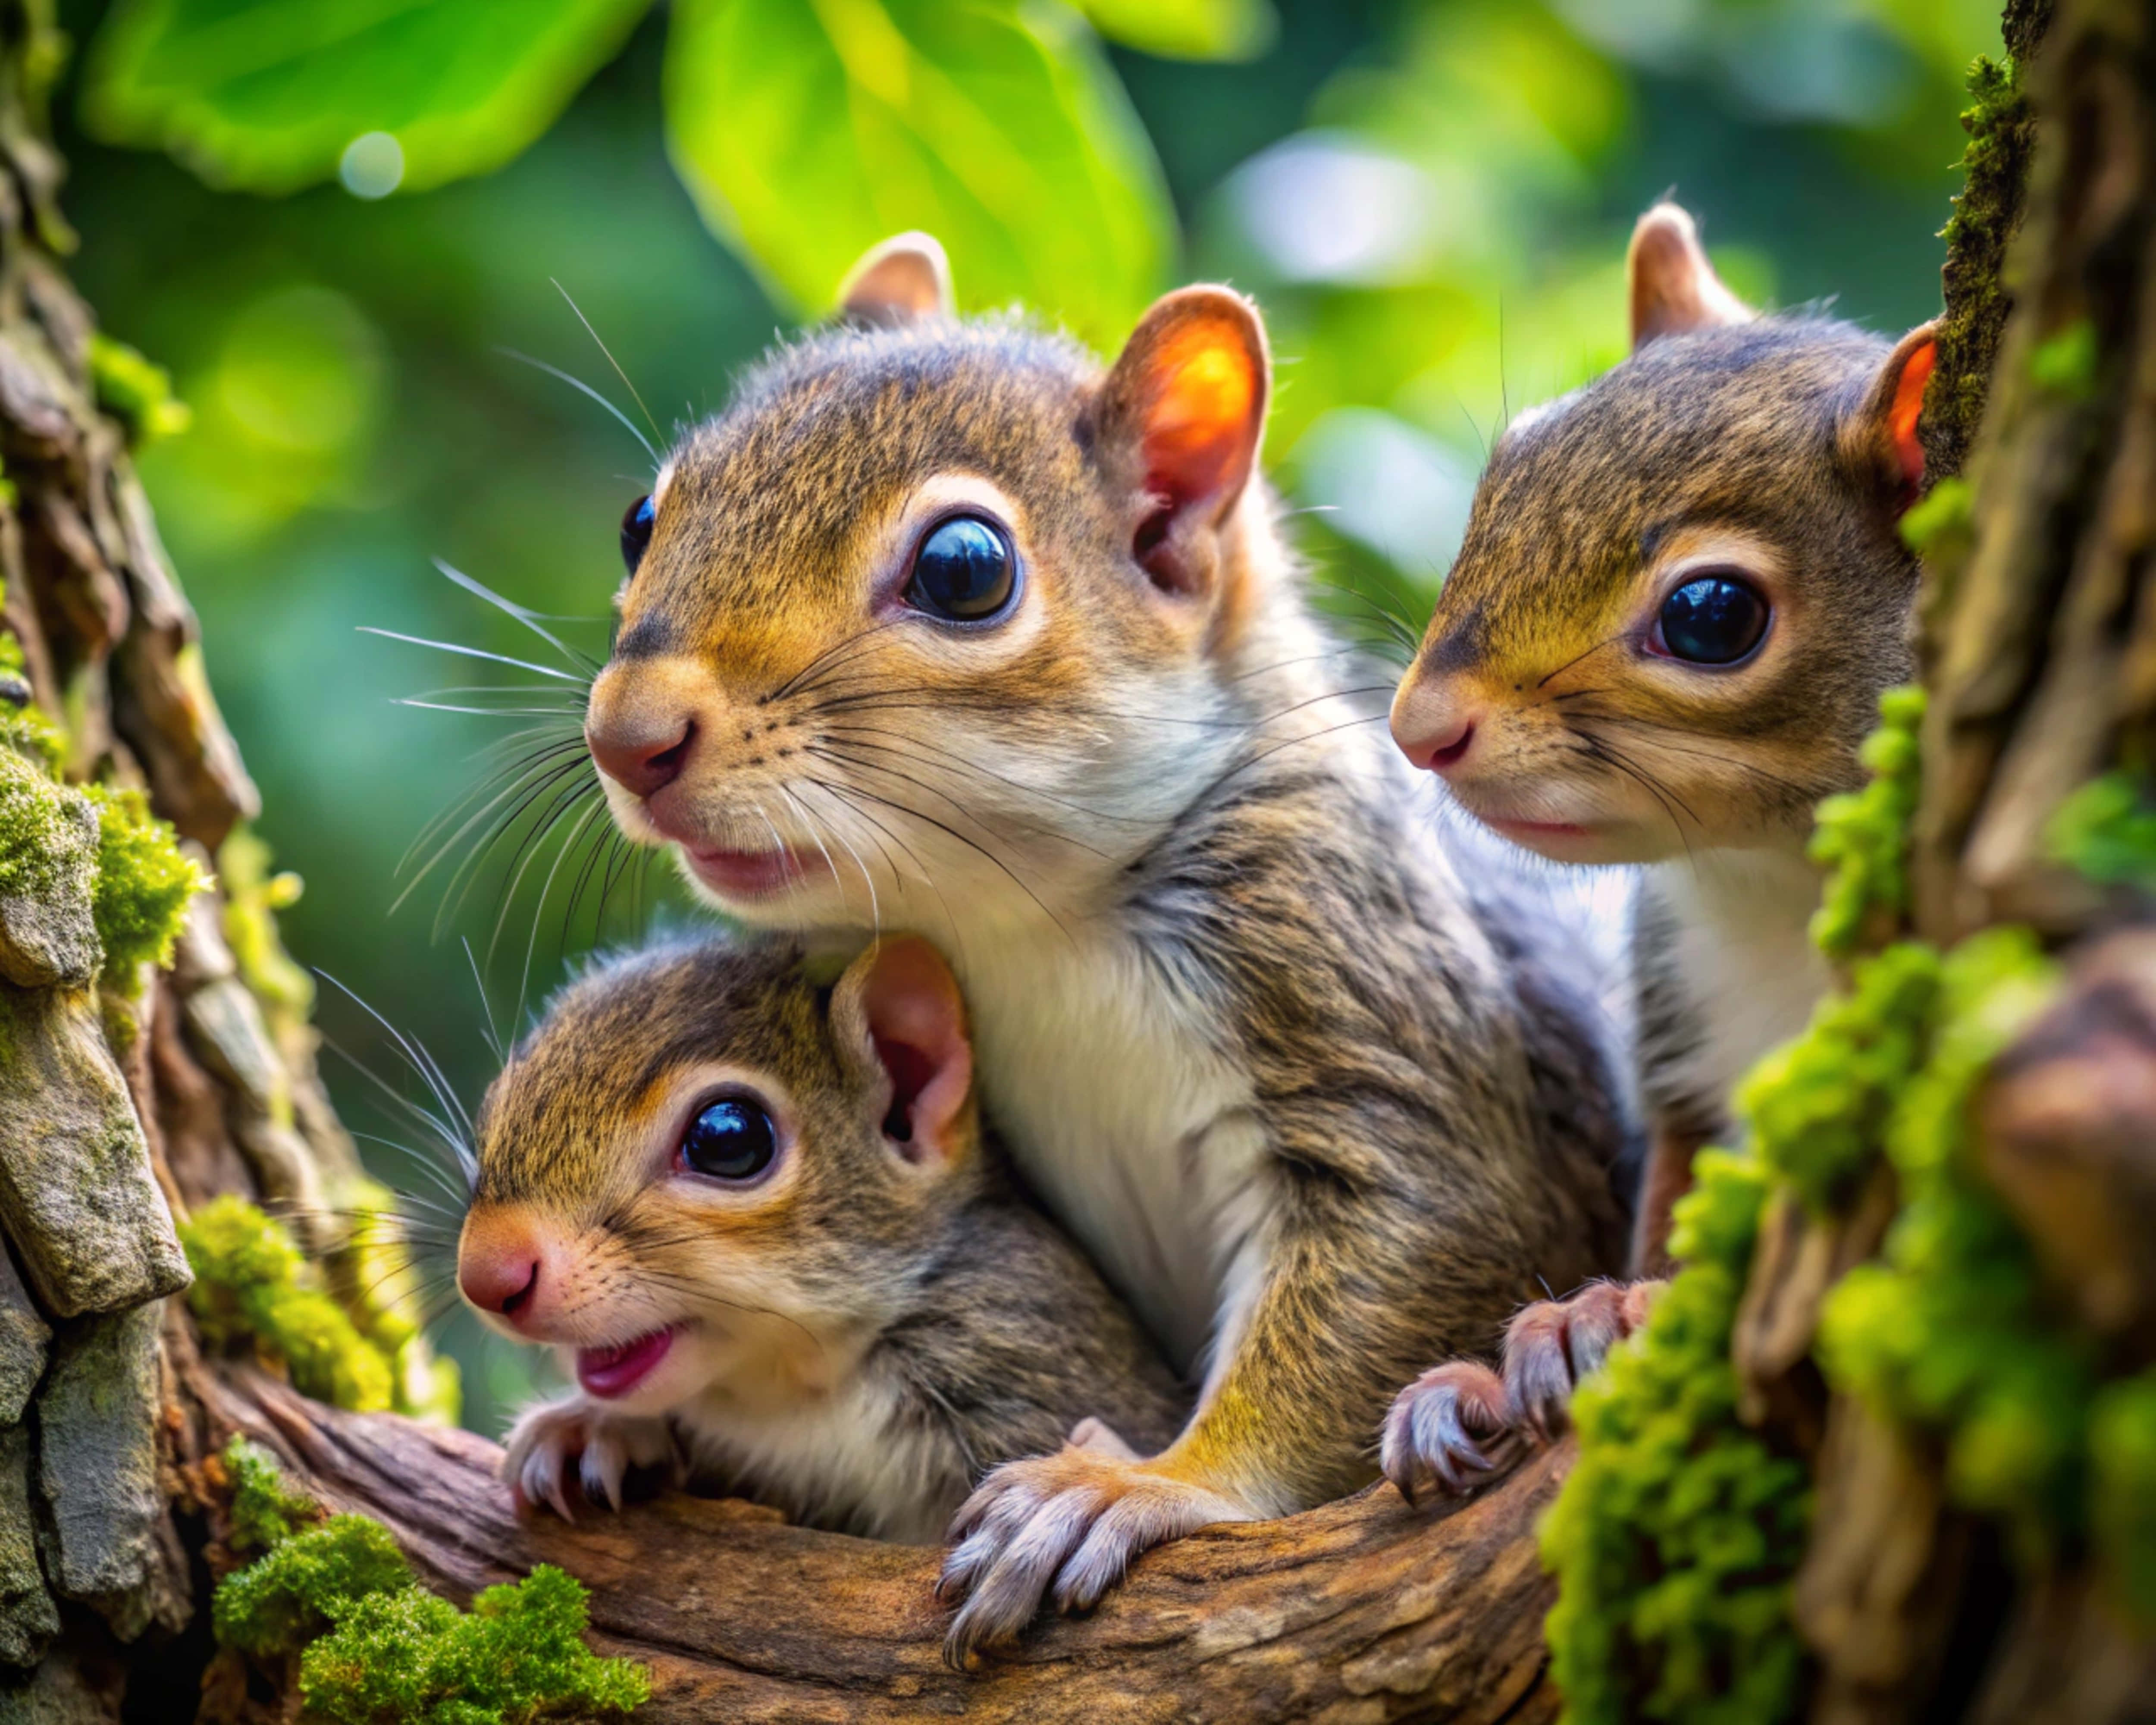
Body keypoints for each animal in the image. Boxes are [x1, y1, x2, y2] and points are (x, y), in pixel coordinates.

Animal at [456, 932, 1187, 1573]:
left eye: (728, 1138)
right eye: (495, 1099)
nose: (486, 1278)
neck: (798, 1396)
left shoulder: (1030, 1351)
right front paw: (593, 1431)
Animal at [576, 232, 1633, 1648]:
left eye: (964, 570)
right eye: (642, 519)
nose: (628, 735)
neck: (1023, 917)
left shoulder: (1351, 978)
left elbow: (1401, 1241)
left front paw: (1140, 1485)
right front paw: (606, 1426)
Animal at [1380, 202, 1937, 1496]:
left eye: (1712, 615)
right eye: (1512, 459)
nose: (1420, 727)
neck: (1764, 878)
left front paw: (1603, 1317)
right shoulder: (1679, 1030)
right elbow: (1675, 1188)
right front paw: (1531, 1343)